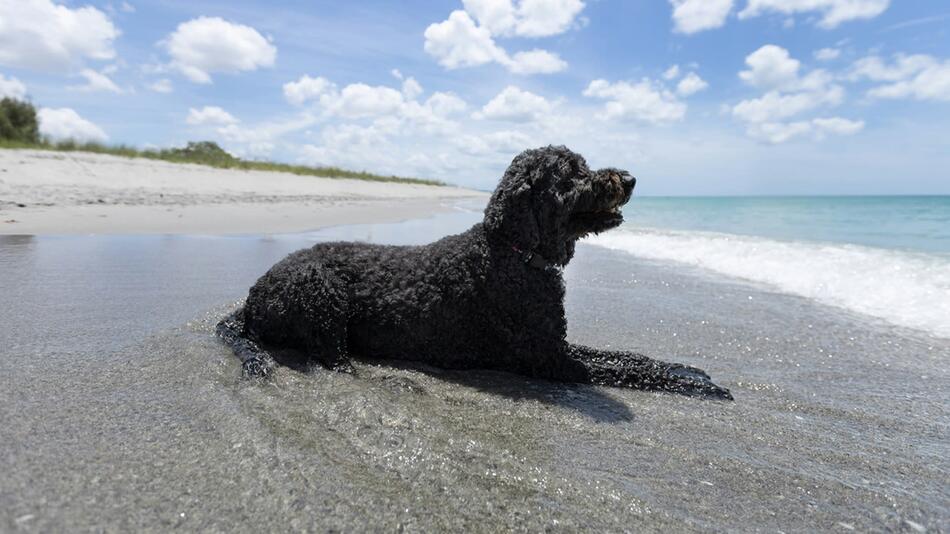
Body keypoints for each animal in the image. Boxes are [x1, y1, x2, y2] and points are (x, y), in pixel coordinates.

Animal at [221, 148, 736, 402]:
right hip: (321, 294)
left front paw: (688, 369)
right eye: (572, 173)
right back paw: (394, 382)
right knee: (333, 364)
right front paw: (699, 387)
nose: (629, 179)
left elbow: (631, 358)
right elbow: (626, 371)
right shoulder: (554, 361)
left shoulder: (559, 344)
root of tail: (251, 296)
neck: (513, 253)